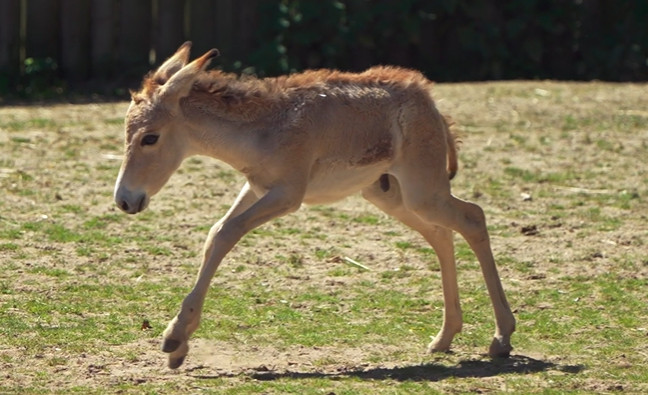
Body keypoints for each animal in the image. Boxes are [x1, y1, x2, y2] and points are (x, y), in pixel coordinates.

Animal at [114, 41, 512, 370]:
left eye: (150, 138)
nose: (124, 200)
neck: (262, 129)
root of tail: (430, 102)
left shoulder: (288, 195)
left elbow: (227, 233)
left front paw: (174, 338)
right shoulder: (256, 188)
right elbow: (215, 234)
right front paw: (179, 347)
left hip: (422, 191)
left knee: (473, 218)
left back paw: (501, 338)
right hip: (391, 195)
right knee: (442, 235)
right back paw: (444, 338)